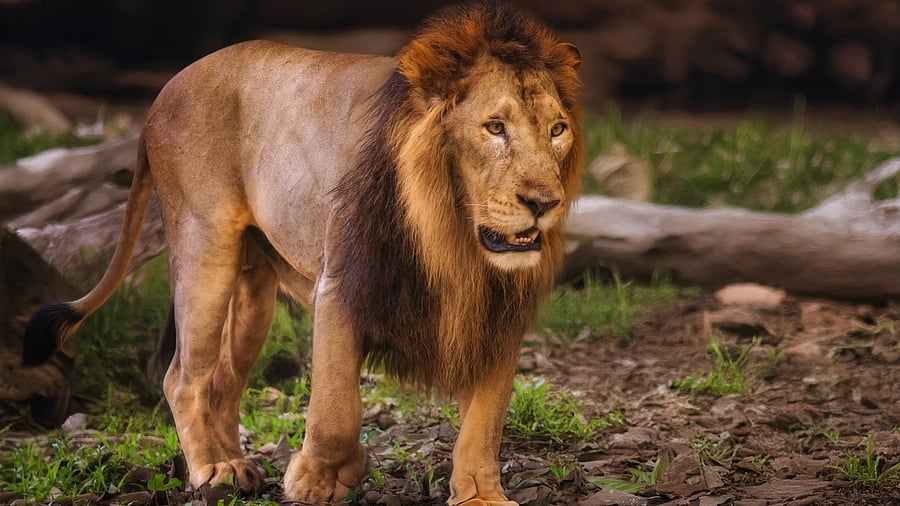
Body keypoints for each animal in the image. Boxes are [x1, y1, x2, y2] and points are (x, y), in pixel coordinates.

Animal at [23, 3, 582, 504]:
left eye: (557, 130)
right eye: (494, 127)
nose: (543, 203)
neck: (453, 240)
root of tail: (166, 89)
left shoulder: (500, 312)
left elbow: (486, 418)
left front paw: (482, 495)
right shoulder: (341, 284)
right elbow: (335, 407)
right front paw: (322, 482)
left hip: (253, 288)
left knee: (222, 381)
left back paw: (235, 465)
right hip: (205, 245)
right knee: (183, 376)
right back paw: (212, 471)